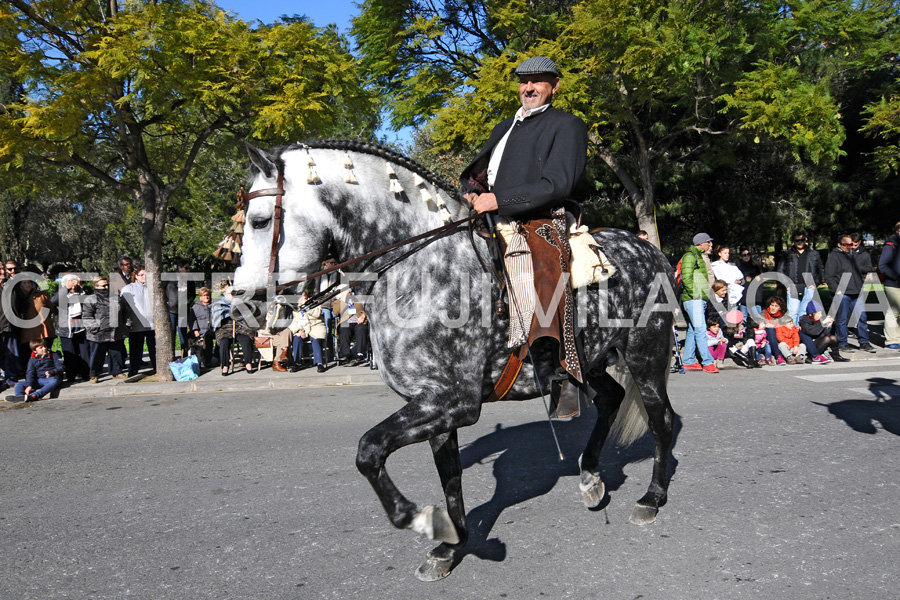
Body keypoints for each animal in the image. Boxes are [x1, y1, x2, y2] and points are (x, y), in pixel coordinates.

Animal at [232, 138, 676, 580]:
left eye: (258, 221)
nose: (242, 305)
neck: (422, 272)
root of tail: (649, 249)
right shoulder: (431, 403)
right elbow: (449, 473)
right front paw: (450, 543)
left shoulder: (456, 401)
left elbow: (369, 450)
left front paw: (423, 520)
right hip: (592, 360)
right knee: (612, 399)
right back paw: (589, 477)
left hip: (646, 354)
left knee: (661, 419)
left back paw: (651, 498)